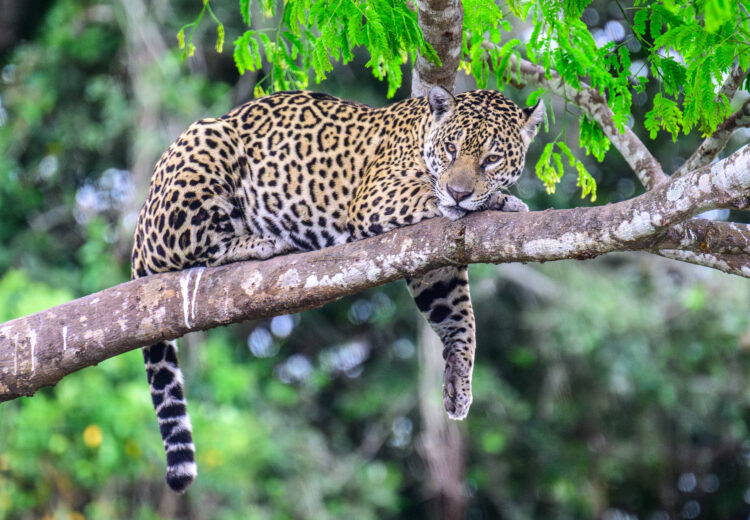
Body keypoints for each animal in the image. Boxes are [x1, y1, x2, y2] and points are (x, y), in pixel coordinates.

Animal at [131, 86, 544, 493]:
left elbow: (460, 320)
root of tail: (139, 226)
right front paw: (502, 201)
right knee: (198, 244)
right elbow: (434, 197)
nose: (459, 192)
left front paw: (459, 383)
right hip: (206, 146)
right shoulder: (378, 196)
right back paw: (263, 242)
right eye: (451, 149)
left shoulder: (434, 261)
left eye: (492, 159)